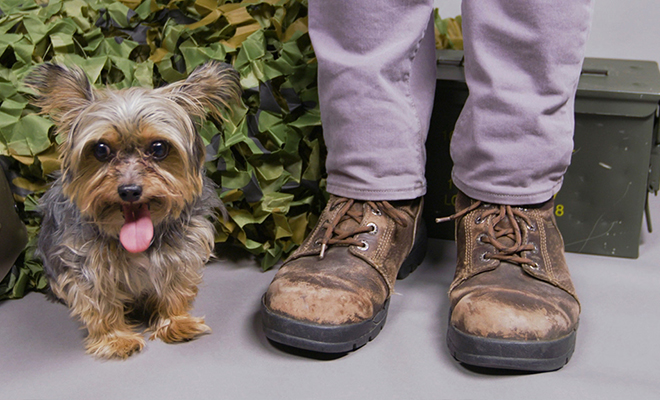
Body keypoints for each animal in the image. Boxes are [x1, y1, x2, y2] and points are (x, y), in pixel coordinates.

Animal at [27, 61, 242, 360]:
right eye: (101, 149)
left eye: (159, 148)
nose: (129, 191)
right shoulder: (85, 261)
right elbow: (100, 301)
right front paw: (116, 339)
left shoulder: (182, 250)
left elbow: (176, 287)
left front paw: (176, 322)